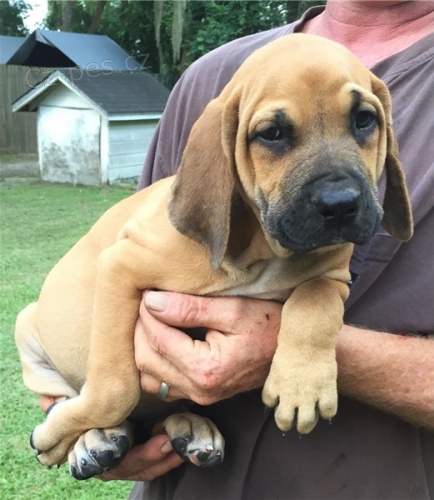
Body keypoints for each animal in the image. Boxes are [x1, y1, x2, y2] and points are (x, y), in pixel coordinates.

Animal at [15, 33, 412, 478]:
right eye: (272, 133)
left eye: (364, 120)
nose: (340, 205)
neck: (263, 253)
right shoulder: (121, 266)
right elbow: (115, 387)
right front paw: (56, 434)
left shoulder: (332, 277)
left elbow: (316, 302)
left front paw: (301, 384)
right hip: (27, 328)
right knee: (78, 396)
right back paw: (90, 437)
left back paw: (189, 426)